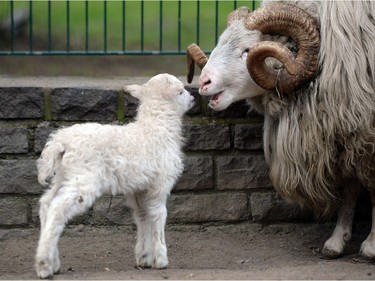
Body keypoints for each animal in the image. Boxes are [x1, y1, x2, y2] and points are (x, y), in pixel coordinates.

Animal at [33, 72, 195, 278]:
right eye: (181, 91)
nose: (193, 98)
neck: (156, 127)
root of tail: (60, 142)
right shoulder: (160, 183)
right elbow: (159, 215)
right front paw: (161, 260)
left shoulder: (139, 188)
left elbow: (143, 216)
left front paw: (144, 257)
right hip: (84, 178)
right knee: (57, 208)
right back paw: (44, 265)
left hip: (64, 176)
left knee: (46, 204)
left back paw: (53, 262)